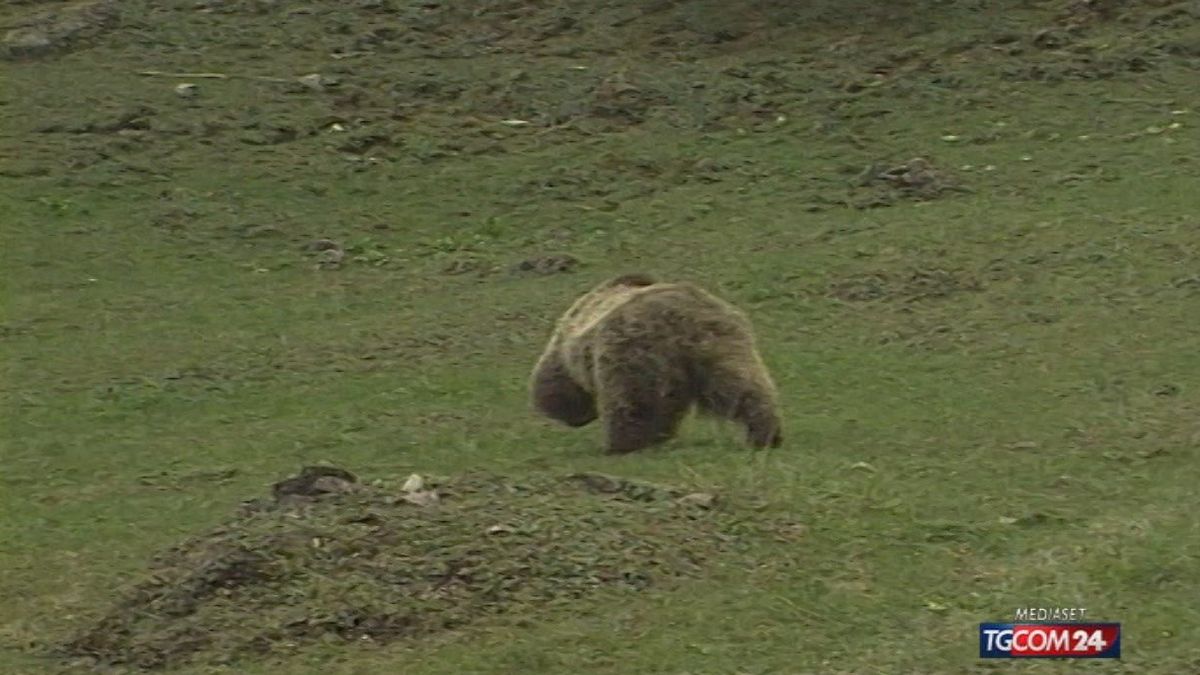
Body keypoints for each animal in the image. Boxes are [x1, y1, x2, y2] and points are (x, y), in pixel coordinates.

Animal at [530, 271, 782, 451]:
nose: (580, 419)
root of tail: (682, 319)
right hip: (723, 344)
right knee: (742, 386)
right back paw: (765, 432)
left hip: (631, 349)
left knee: (631, 400)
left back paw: (621, 443)